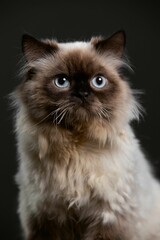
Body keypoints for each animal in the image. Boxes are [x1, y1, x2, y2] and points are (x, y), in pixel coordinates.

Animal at [12, 31, 160, 239]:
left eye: (98, 81)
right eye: (62, 82)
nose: (82, 93)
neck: (77, 148)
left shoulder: (110, 217)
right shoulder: (46, 217)